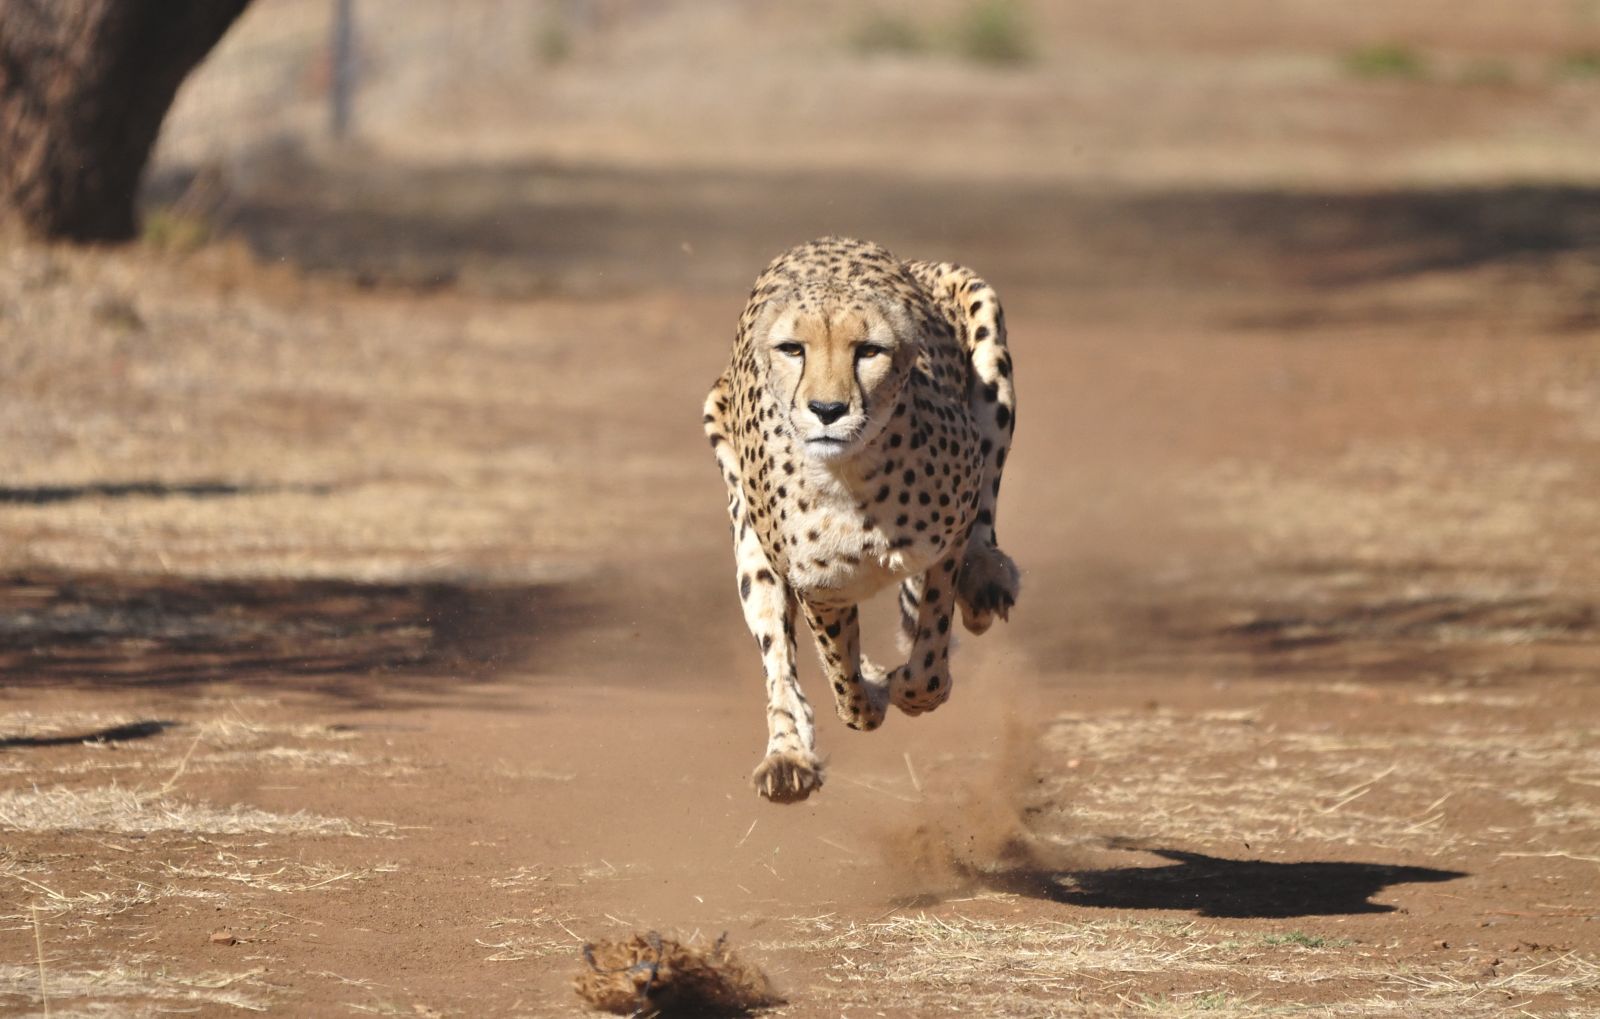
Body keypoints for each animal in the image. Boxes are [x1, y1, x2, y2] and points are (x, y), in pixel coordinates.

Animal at [703, 236, 1020, 804]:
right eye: (793, 349)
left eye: (869, 350)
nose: (827, 409)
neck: (851, 477)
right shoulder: (818, 588)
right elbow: (840, 674)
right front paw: (869, 696)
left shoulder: (948, 536)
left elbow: (928, 656)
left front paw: (909, 687)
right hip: (748, 541)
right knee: (778, 661)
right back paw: (787, 756)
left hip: (988, 347)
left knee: (988, 498)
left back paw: (985, 581)